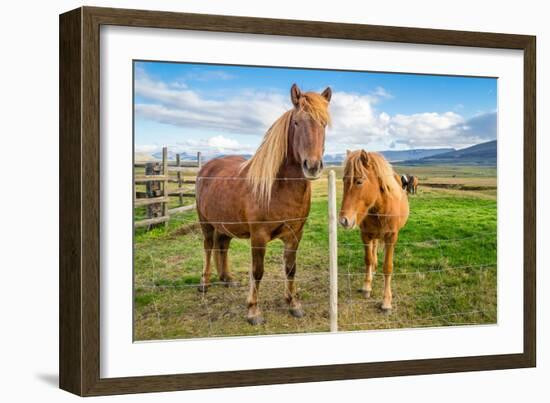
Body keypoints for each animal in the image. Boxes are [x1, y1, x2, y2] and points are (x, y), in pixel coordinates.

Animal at [195, 83, 332, 326]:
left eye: (324, 123)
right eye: (297, 122)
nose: (313, 166)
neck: (278, 188)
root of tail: (208, 166)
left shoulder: (295, 235)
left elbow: (290, 269)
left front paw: (293, 304)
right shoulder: (258, 237)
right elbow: (257, 271)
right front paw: (253, 311)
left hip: (225, 224)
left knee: (223, 245)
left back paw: (226, 278)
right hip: (206, 223)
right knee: (209, 247)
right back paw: (204, 283)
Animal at [338, 151, 412, 312]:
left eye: (359, 181)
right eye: (344, 180)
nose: (344, 220)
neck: (381, 208)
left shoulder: (391, 237)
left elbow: (388, 267)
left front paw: (386, 301)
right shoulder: (365, 235)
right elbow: (368, 259)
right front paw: (367, 286)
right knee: (373, 251)